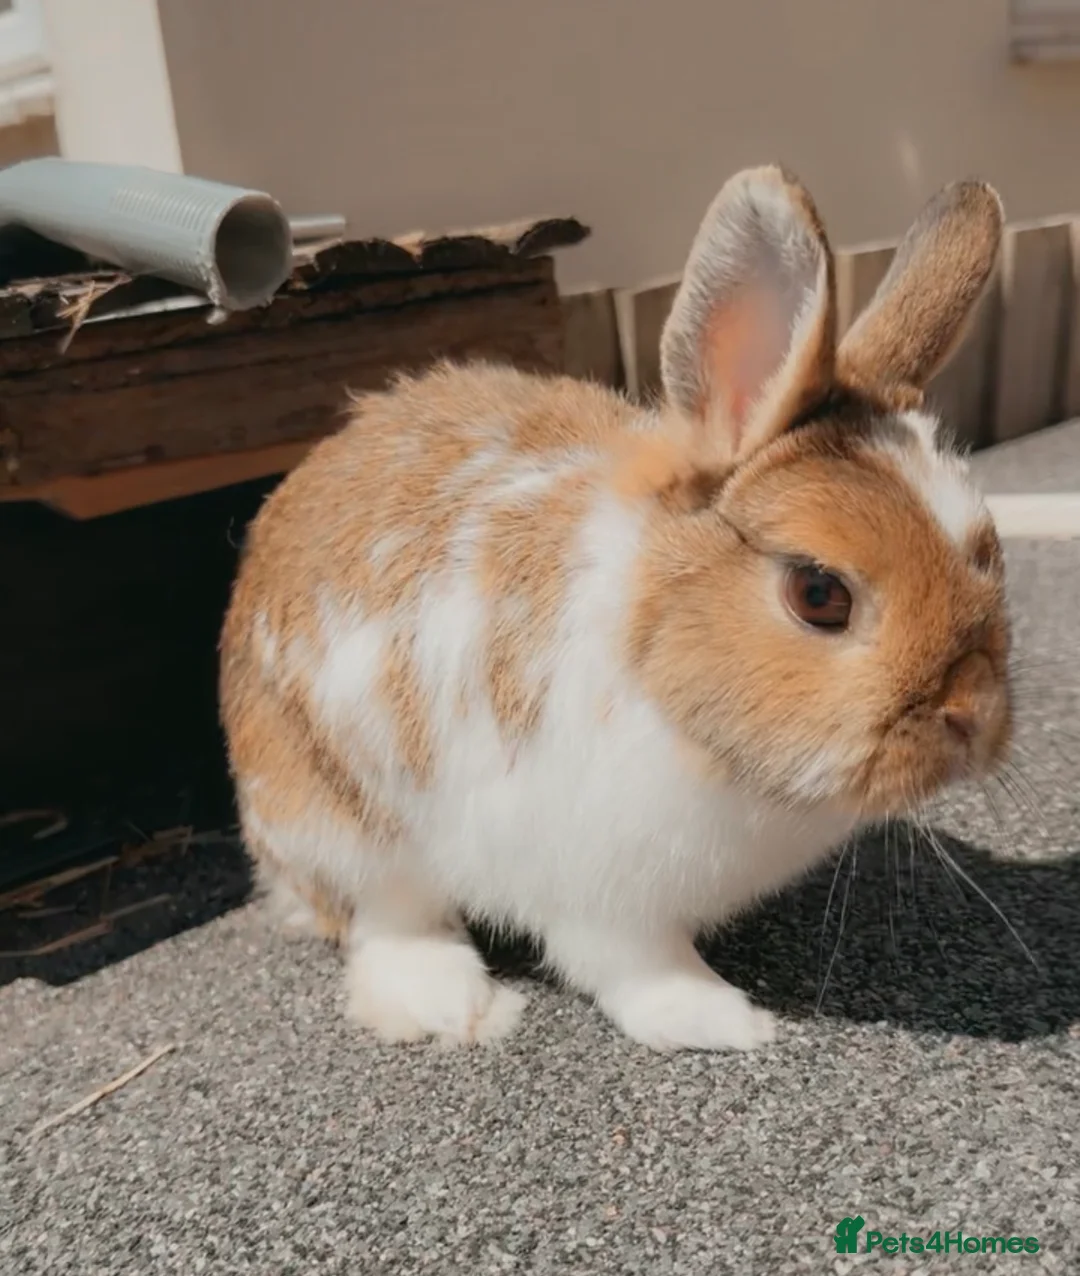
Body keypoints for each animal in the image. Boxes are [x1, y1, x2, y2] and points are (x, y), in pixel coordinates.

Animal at [220, 165, 1011, 1052]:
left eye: (987, 550)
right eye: (819, 595)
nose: (974, 713)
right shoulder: (596, 892)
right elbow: (638, 969)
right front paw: (728, 1022)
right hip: (341, 818)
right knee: (387, 918)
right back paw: (453, 1007)